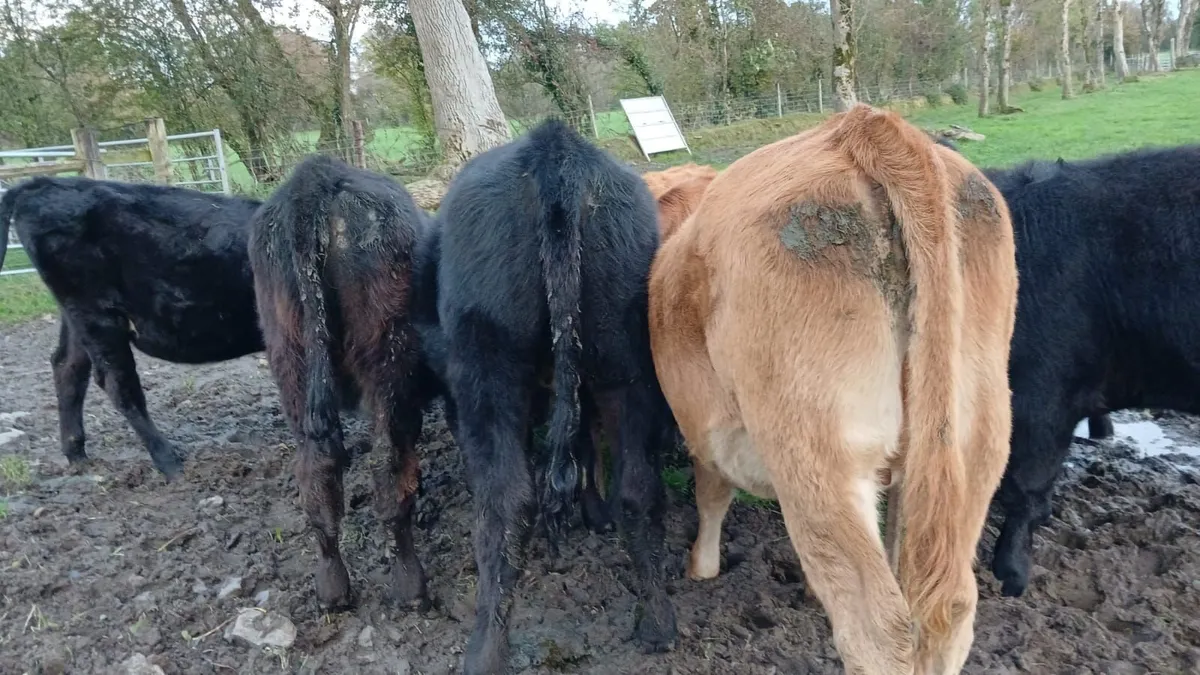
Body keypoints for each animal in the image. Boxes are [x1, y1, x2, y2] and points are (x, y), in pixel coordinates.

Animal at [0, 177, 264, 478]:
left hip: (77, 315)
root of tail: (45, 183)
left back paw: (77, 455)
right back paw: (171, 464)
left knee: (67, 367)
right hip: (97, 313)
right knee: (117, 384)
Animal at [247, 155, 429, 611]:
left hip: (289, 359)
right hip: (389, 356)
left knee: (316, 472)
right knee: (388, 464)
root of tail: (315, 178)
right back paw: (410, 586)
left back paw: (331, 588)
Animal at [417, 119, 677, 674]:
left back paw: (485, 650)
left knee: (507, 499)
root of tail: (553, 147)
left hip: (489, 368)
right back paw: (658, 622)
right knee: (638, 488)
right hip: (626, 361)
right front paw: (593, 514)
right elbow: (584, 449)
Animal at [649, 104, 1018, 673]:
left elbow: (711, 496)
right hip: (971, 444)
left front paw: (701, 568)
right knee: (946, 606)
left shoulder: (707, 432)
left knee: (877, 629)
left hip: (818, 455)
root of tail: (862, 126)